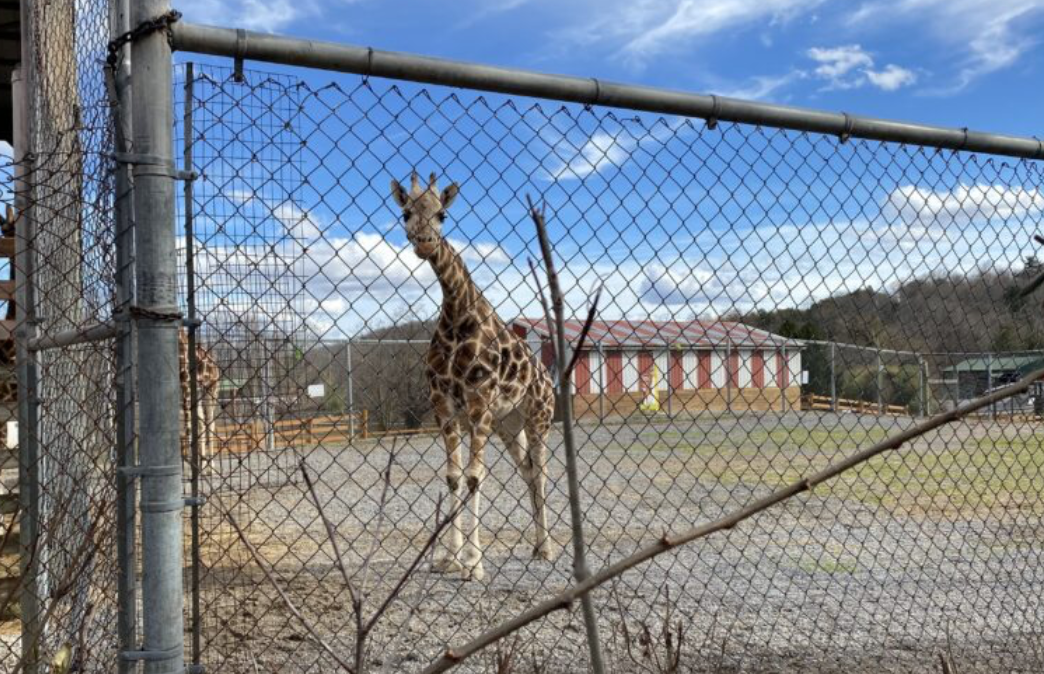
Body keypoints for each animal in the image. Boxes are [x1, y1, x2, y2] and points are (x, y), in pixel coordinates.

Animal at [178, 328, 221, 463]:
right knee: (202, 422)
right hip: (199, 393)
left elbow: (188, 426)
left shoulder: (186, 382)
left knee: (210, 422)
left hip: (211, 391)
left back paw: (210, 465)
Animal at [390, 171, 557, 581]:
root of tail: (547, 378)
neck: (456, 313)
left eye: (443, 215)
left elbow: (474, 477)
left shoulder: (479, 401)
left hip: (538, 417)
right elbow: (453, 477)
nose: (425, 243)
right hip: (509, 424)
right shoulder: (443, 404)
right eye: (405, 213)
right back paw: (536, 545)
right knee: (528, 472)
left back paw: (548, 548)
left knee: (542, 473)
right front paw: (448, 558)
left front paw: (473, 563)